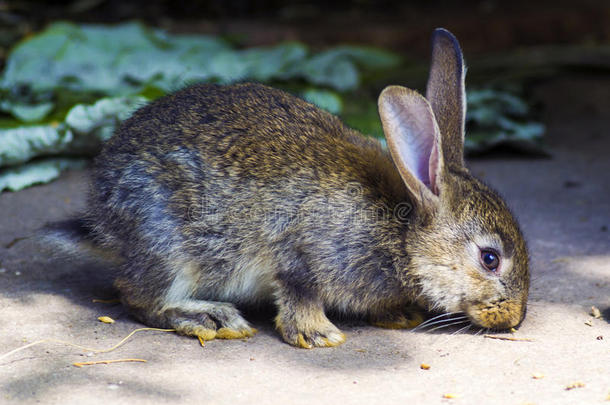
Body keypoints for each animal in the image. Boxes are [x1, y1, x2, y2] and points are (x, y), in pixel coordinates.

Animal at [44, 28, 528, 348]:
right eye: (490, 259)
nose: (515, 319)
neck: (402, 233)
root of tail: (105, 219)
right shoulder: (301, 251)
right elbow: (299, 292)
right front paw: (319, 335)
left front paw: (398, 315)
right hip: (168, 242)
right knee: (139, 296)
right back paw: (211, 318)